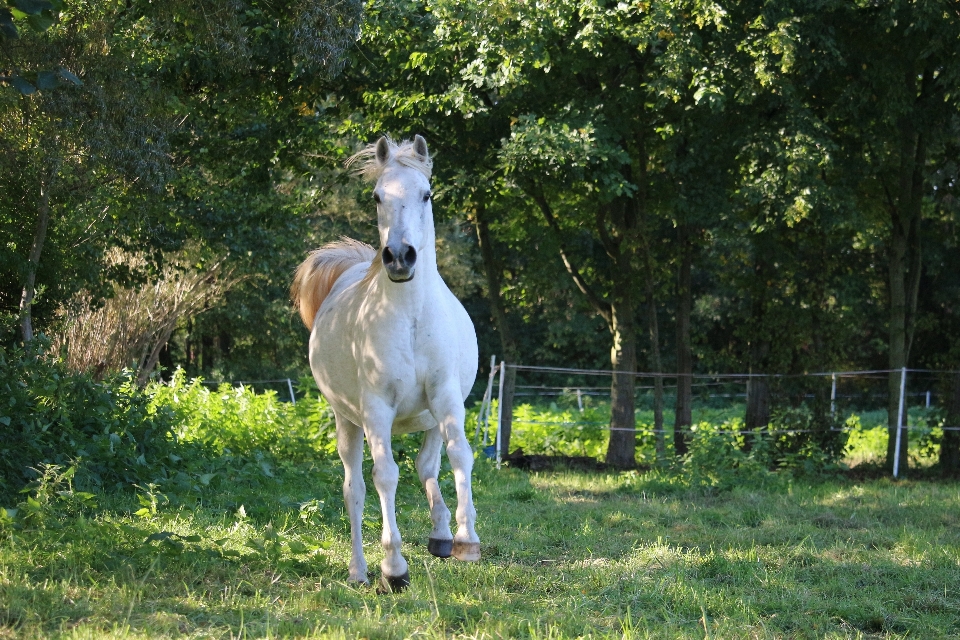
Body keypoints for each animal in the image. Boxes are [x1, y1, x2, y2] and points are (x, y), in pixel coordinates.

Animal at [286, 134, 478, 592]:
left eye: (426, 194)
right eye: (377, 197)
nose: (399, 257)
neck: (410, 318)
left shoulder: (446, 398)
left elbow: (459, 456)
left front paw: (466, 539)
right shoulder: (376, 410)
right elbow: (385, 476)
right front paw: (394, 567)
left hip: (427, 418)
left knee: (428, 465)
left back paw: (441, 536)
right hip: (347, 421)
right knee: (354, 489)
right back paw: (359, 570)